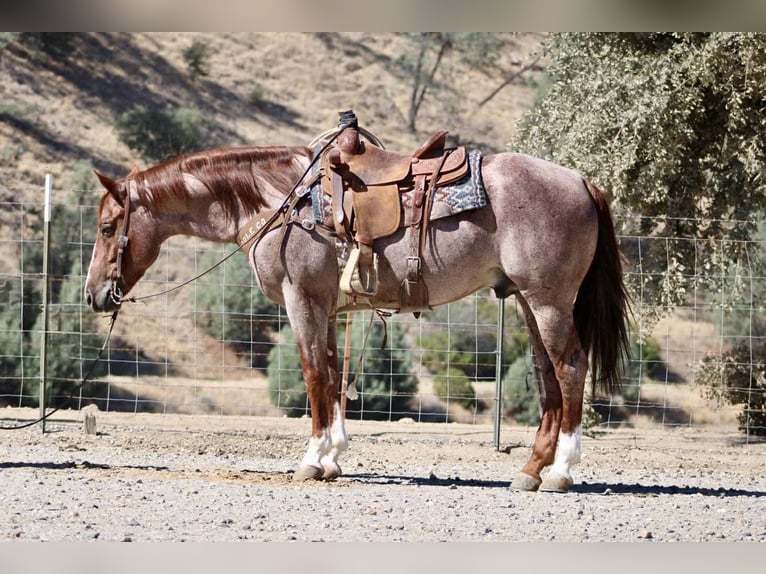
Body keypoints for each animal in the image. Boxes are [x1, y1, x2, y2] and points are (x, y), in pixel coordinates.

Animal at [84, 136, 630, 493]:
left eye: (109, 227)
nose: (94, 295)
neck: (283, 203)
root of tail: (582, 181)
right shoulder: (326, 308)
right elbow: (330, 374)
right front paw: (333, 457)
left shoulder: (301, 299)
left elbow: (311, 374)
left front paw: (311, 459)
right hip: (526, 301)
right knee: (548, 375)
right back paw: (531, 471)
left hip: (548, 301)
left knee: (570, 369)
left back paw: (560, 472)